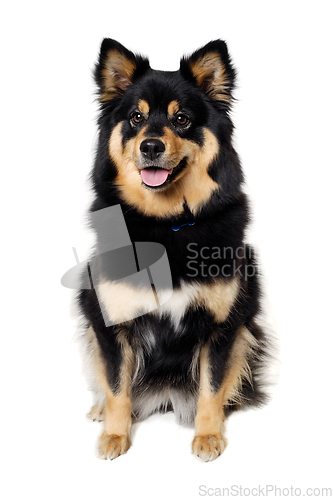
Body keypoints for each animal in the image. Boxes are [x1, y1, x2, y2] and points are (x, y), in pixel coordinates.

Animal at [77, 38, 268, 460]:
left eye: (182, 119)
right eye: (135, 117)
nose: (151, 145)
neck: (164, 224)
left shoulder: (222, 325)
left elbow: (211, 387)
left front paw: (208, 436)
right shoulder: (112, 320)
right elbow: (117, 384)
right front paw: (115, 436)